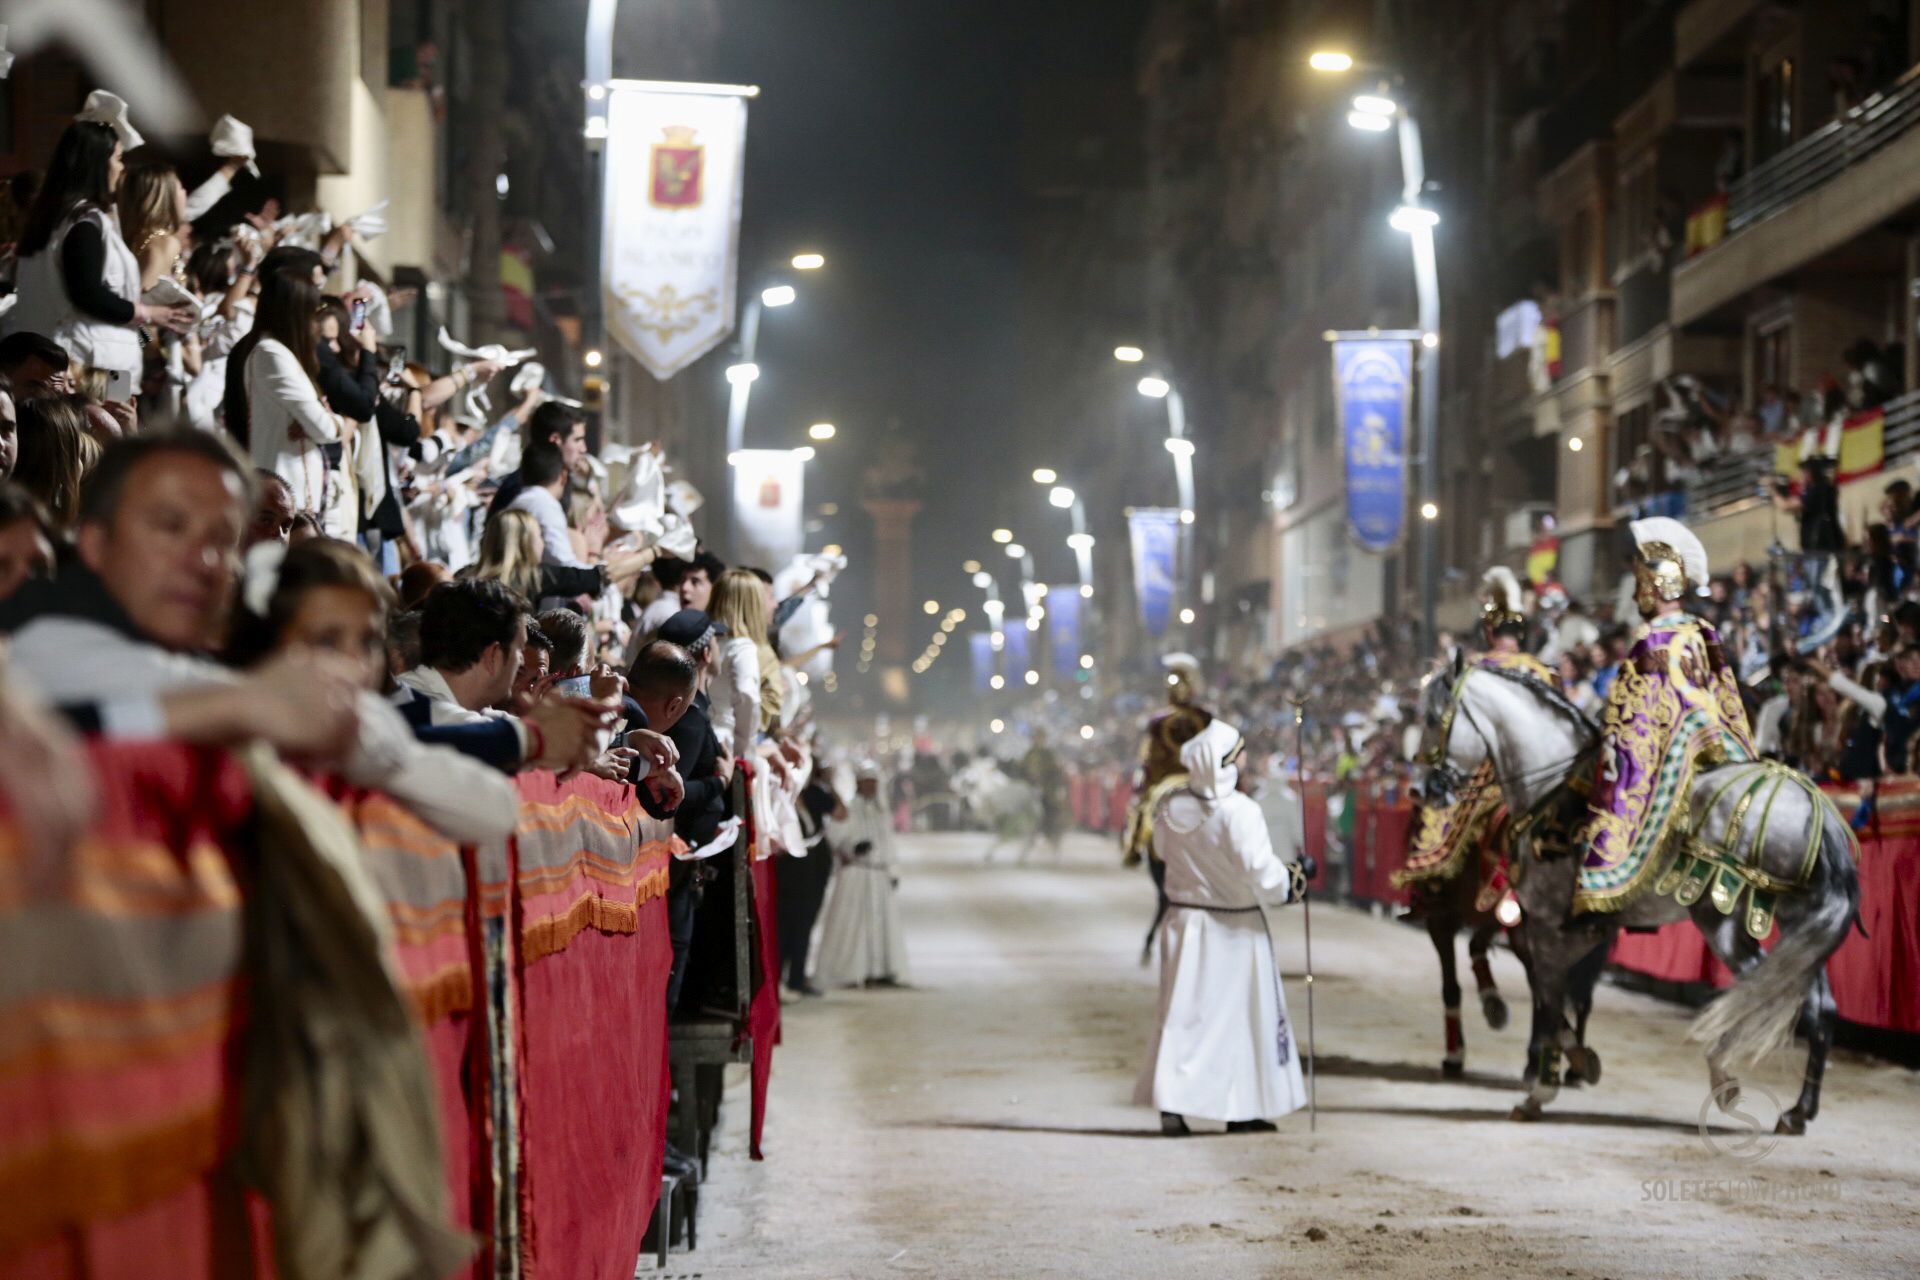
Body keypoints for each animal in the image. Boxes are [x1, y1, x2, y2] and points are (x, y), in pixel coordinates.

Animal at [1420, 656, 1850, 1136]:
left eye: (1434, 717)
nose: (1428, 787)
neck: (1554, 790)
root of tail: (1811, 802)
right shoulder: (1565, 932)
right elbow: (1553, 996)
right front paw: (1574, 1064)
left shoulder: (1547, 926)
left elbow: (1549, 1000)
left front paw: (1541, 1089)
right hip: (1798, 928)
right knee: (1819, 1006)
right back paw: (1797, 1110)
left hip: (1725, 924)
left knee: (1765, 995)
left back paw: (1727, 1077)